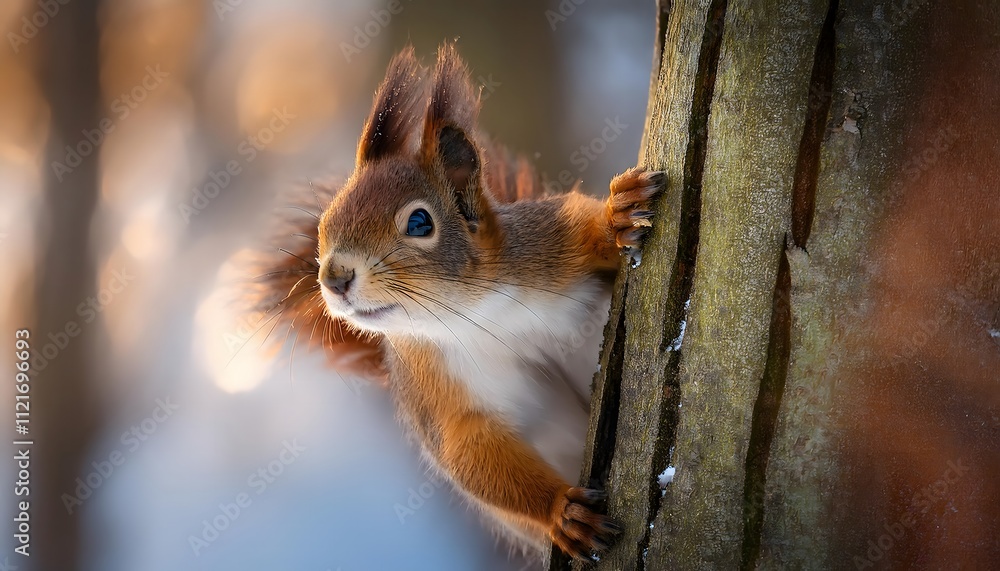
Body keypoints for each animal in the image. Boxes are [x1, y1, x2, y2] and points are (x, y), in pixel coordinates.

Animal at [243, 44, 664, 562]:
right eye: (325, 222)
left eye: (420, 222)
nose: (334, 277)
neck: (476, 311)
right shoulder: (436, 391)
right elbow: (469, 449)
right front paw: (562, 512)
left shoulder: (550, 242)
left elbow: (585, 227)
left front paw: (615, 217)